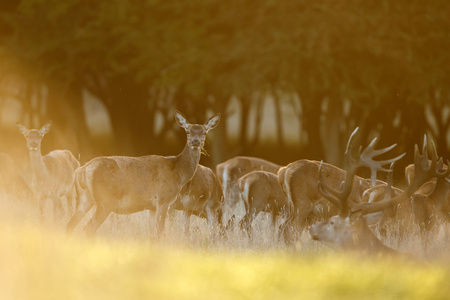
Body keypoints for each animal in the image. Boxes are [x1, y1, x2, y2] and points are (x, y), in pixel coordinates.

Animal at [66, 111, 220, 238]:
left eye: (204, 132)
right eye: (188, 131)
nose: (196, 141)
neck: (178, 173)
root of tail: (83, 169)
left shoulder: (151, 207)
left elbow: (152, 235)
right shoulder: (164, 199)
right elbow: (159, 234)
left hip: (84, 198)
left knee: (70, 225)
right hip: (105, 200)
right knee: (88, 228)